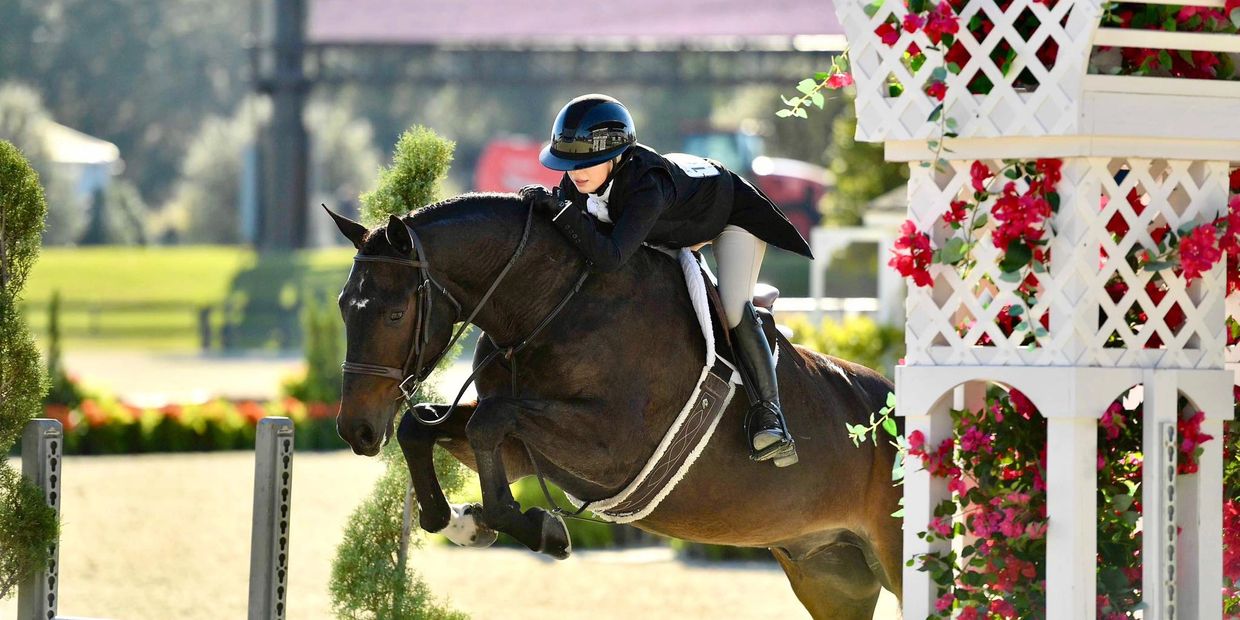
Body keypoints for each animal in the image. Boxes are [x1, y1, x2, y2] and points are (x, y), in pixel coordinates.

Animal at [326, 193, 902, 619]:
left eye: (395, 313)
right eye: (343, 307)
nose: (356, 430)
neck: (549, 304)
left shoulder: (613, 450)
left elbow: (489, 421)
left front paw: (533, 527)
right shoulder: (525, 451)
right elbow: (421, 427)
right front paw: (460, 522)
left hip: (893, 557)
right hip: (831, 574)